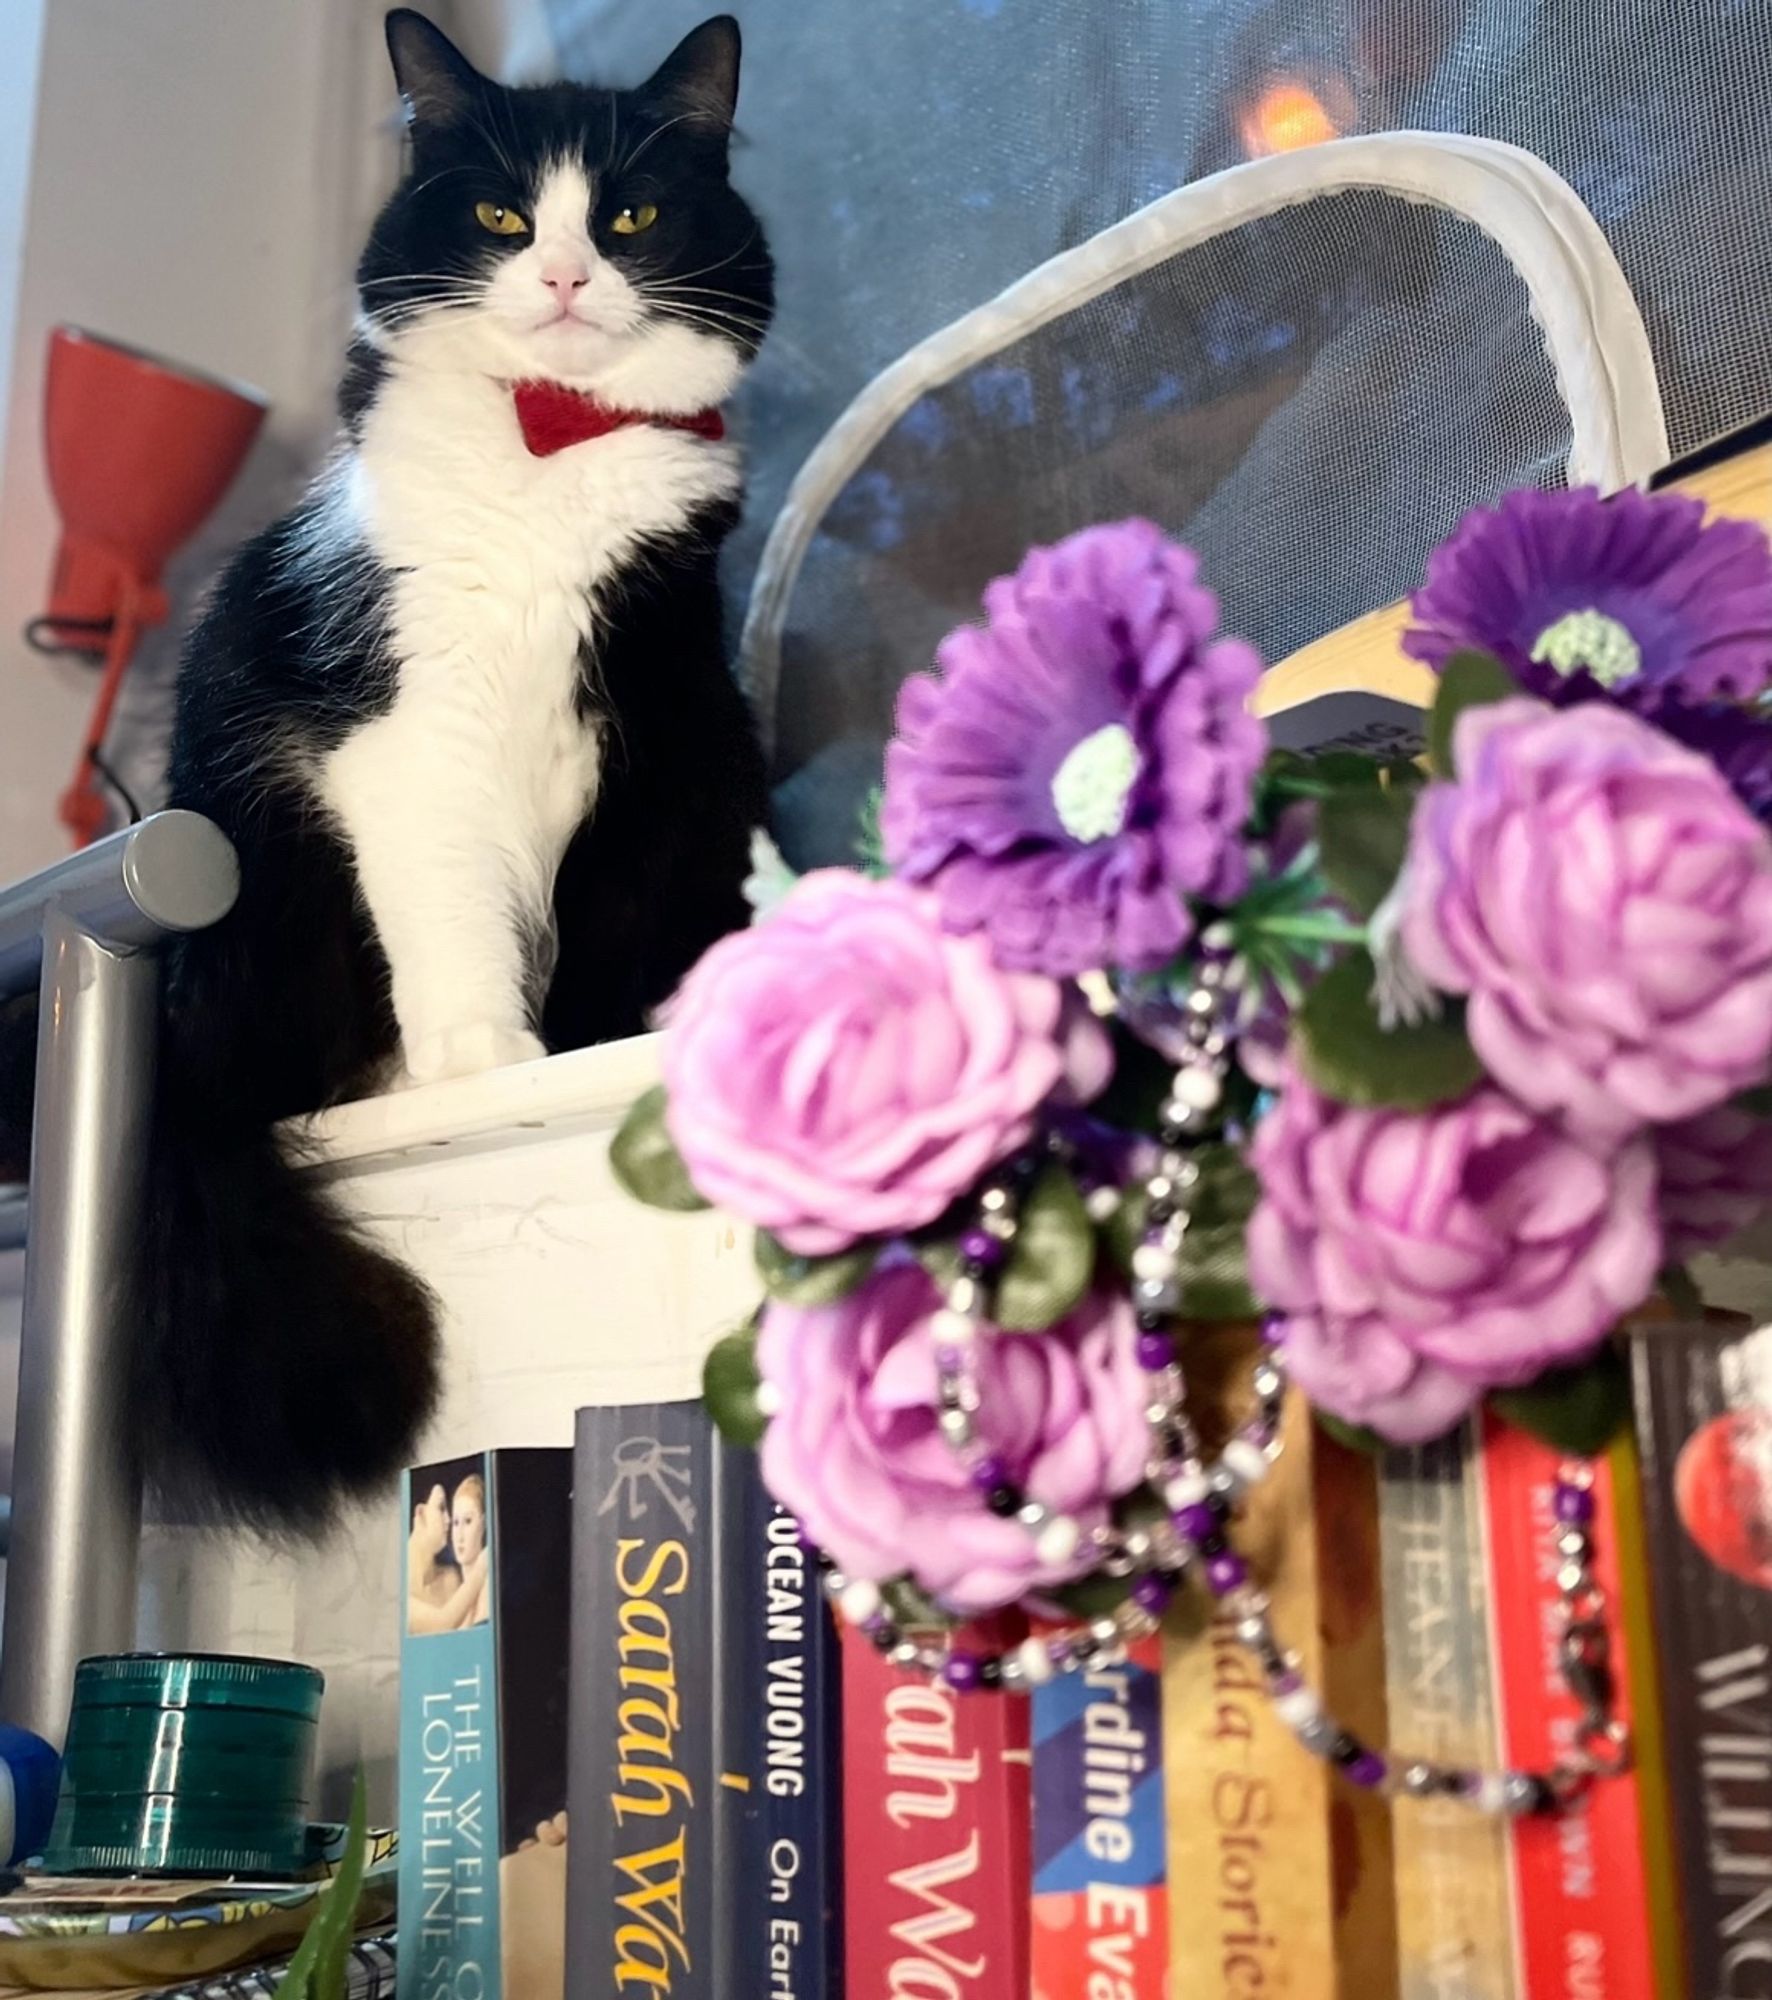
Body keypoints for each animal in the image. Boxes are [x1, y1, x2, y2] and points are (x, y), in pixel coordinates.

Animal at [102, 11, 772, 1528]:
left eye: (632, 215)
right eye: (500, 216)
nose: (568, 274)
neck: (550, 443)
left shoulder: (665, 723)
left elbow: (628, 902)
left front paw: (600, 1027)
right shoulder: (402, 728)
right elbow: (452, 895)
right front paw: (482, 1046)